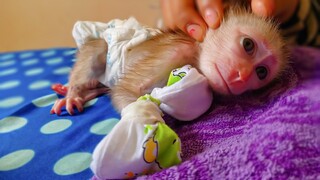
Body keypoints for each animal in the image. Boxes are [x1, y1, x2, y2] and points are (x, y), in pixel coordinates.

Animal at [50, 5, 288, 116]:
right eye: (248, 45)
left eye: (261, 72)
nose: (242, 76)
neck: (196, 53)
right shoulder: (175, 52)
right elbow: (125, 91)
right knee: (98, 51)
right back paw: (72, 94)